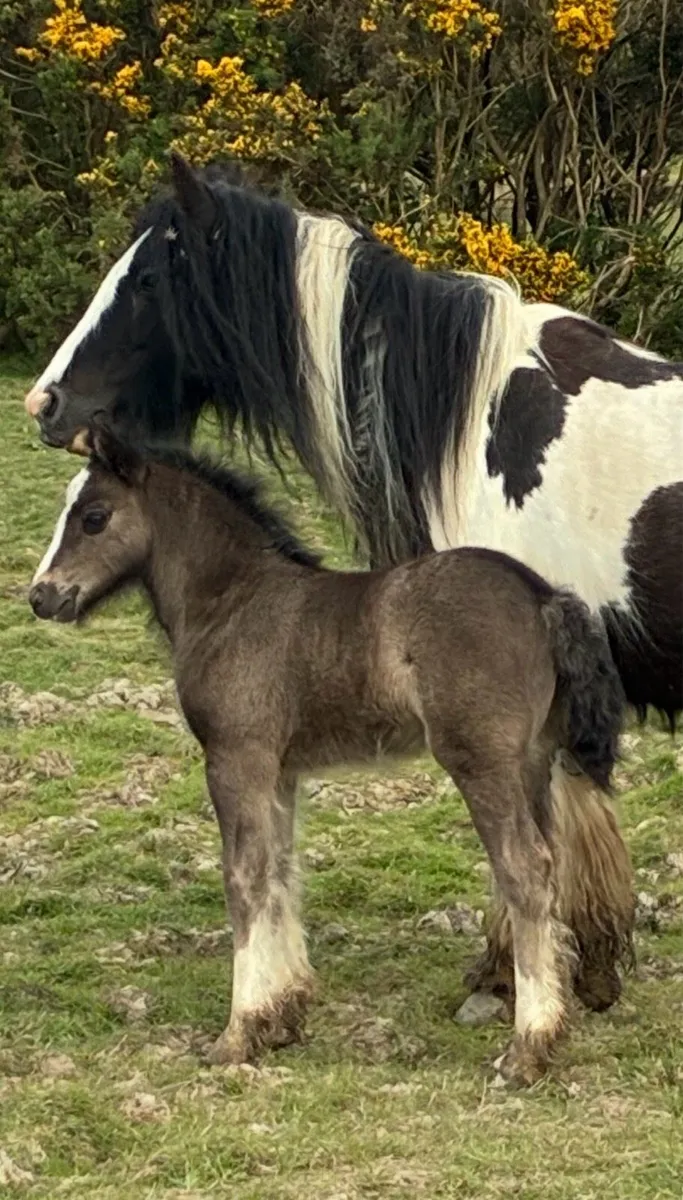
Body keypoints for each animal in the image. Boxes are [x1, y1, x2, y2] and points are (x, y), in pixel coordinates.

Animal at [28, 423, 632, 1086]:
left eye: (94, 516)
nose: (41, 597)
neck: (232, 603)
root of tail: (543, 598)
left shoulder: (235, 759)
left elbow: (243, 877)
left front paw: (237, 1035)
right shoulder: (281, 770)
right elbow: (281, 870)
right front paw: (283, 1015)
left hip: (482, 763)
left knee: (524, 869)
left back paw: (527, 1048)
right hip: (532, 762)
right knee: (549, 863)